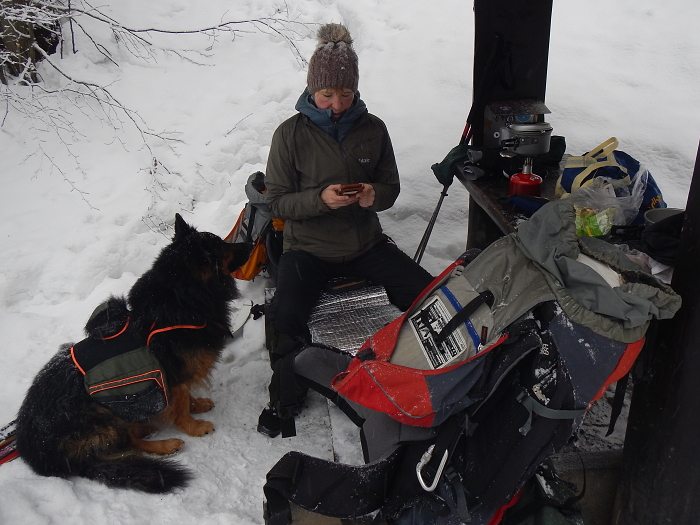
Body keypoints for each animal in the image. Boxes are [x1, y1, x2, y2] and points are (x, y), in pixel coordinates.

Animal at [15, 213, 252, 492]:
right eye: (223, 247)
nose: (250, 244)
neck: (184, 299)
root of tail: (38, 456)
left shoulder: (176, 378)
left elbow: (185, 398)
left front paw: (197, 404)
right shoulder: (171, 377)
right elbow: (180, 406)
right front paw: (192, 427)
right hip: (107, 413)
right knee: (128, 444)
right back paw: (165, 444)